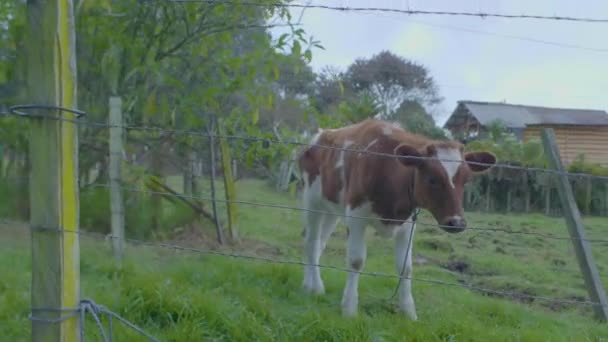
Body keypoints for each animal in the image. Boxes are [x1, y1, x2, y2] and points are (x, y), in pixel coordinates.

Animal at [296, 117, 496, 318]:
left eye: (466, 180)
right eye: (432, 179)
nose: (456, 222)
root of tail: (320, 135)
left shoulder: (408, 224)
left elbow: (405, 267)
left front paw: (409, 312)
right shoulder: (355, 215)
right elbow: (356, 261)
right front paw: (349, 308)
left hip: (331, 209)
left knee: (320, 243)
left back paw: (311, 284)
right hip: (312, 201)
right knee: (311, 242)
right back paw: (313, 287)